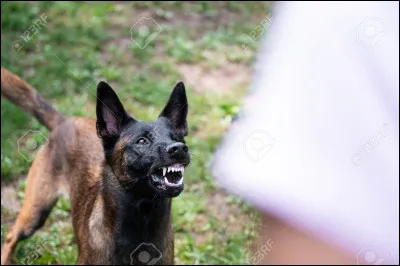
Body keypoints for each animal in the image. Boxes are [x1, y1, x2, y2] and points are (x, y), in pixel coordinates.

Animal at [0, 67, 191, 264]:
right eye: (142, 141)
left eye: (176, 138)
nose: (179, 148)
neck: (143, 217)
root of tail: (64, 121)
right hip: (36, 211)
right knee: (11, 235)